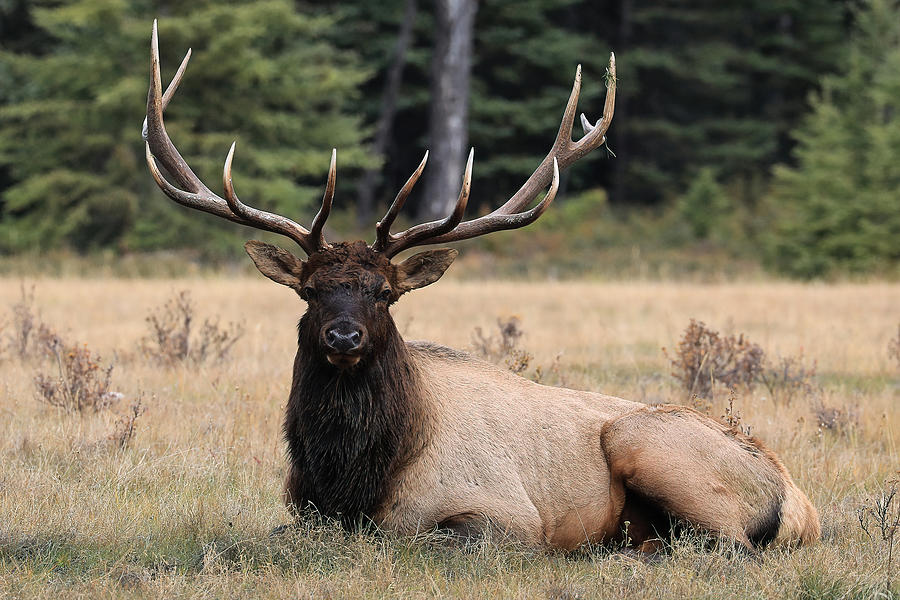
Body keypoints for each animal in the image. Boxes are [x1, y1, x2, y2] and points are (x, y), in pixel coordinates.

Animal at [142, 21, 824, 552]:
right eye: (310, 292)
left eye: (384, 292)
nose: (343, 336)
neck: (357, 477)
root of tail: (800, 503)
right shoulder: (300, 505)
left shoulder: (507, 517)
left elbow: (419, 537)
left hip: (648, 443)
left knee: (725, 545)